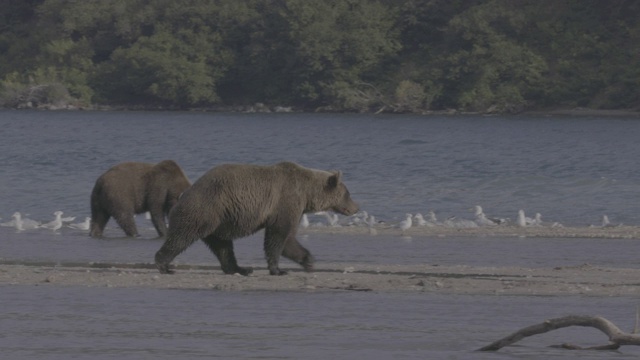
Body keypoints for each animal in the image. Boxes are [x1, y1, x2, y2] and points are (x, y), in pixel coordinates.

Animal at [153, 161, 358, 276]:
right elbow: (278, 236)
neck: (307, 193)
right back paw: (164, 265)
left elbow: (289, 239)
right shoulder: (285, 201)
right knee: (182, 237)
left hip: (218, 220)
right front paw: (278, 270)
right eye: (348, 193)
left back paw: (240, 269)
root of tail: (184, 194)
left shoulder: (293, 209)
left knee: (223, 246)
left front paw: (308, 261)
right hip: (205, 209)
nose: (356, 208)